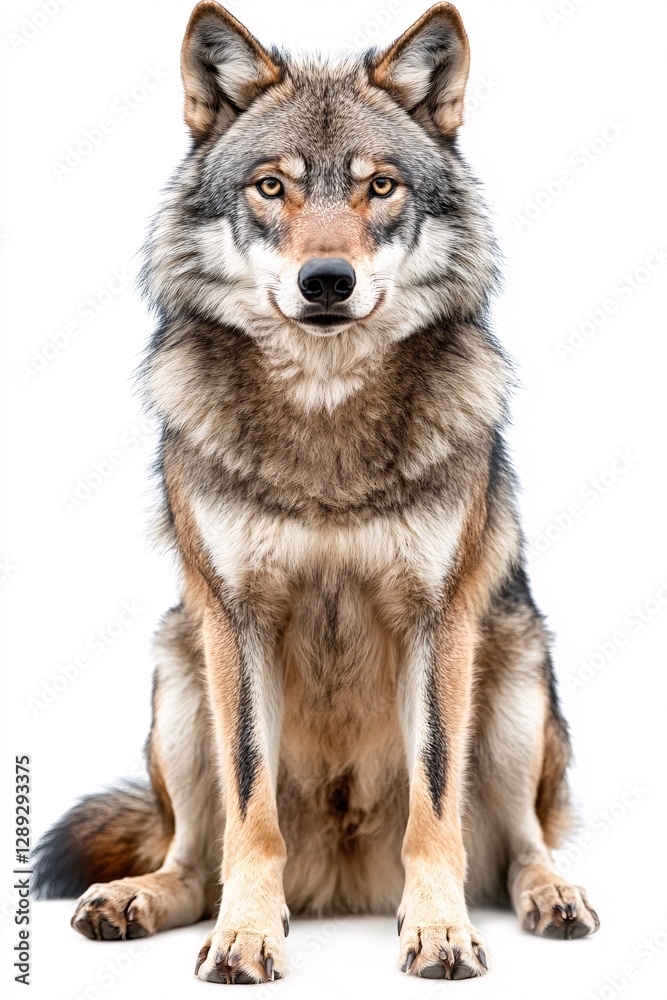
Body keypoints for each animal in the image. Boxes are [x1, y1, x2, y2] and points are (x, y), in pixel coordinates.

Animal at [33, 1, 600, 984]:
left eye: (379, 188)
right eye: (271, 187)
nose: (326, 281)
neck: (325, 418)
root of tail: (343, 884)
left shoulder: (437, 622)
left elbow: (435, 801)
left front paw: (440, 929)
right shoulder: (237, 621)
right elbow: (249, 808)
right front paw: (245, 933)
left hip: (516, 676)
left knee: (520, 844)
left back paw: (549, 896)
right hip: (179, 672)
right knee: (190, 855)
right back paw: (139, 899)